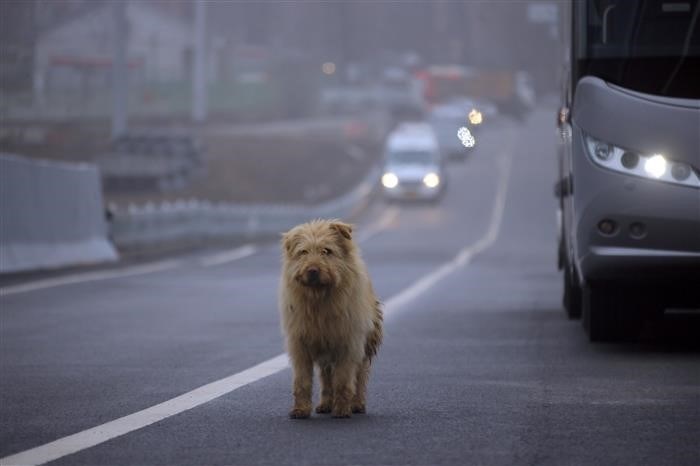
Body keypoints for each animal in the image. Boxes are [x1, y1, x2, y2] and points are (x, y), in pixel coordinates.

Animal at [278, 219, 382, 418]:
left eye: (326, 251)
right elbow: (302, 381)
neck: (319, 296)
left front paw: (341, 409)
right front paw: (301, 409)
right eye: (303, 252)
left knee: (359, 376)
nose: (312, 270)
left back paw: (356, 403)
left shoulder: (348, 345)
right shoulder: (300, 344)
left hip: (364, 344)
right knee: (326, 379)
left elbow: (343, 380)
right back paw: (326, 404)